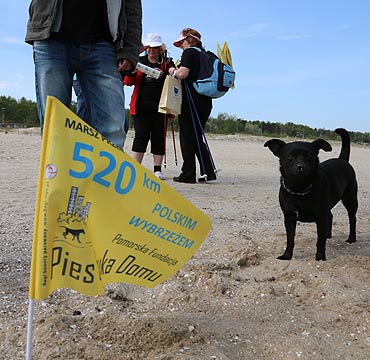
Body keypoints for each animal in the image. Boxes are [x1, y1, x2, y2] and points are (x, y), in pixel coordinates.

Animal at [264, 128, 356, 260]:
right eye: (290, 156)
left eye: (309, 156)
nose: (301, 167)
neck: (299, 189)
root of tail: (342, 159)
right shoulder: (289, 218)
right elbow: (290, 239)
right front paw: (287, 255)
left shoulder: (320, 217)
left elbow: (320, 241)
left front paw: (320, 258)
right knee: (330, 216)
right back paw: (328, 235)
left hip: (350, 199)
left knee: (352, 218)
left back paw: (351, 238)